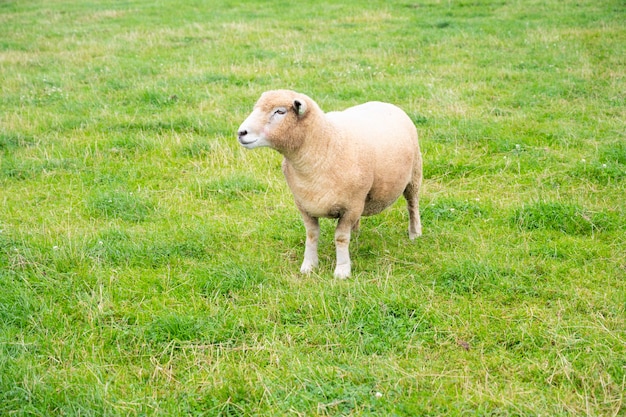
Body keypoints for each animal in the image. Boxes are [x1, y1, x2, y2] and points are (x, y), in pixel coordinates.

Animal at [236, 91, 422, 280]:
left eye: (280, 112)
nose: (241, 132)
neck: (325, 143)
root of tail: (384, 103)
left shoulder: (351, 207)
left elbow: (340, 237)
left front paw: (342, 270)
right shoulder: (304, 204)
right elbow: (312, 235)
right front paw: (309, 265)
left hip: (414, 174)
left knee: (412, 205)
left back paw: (415, 233)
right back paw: (356, 236)